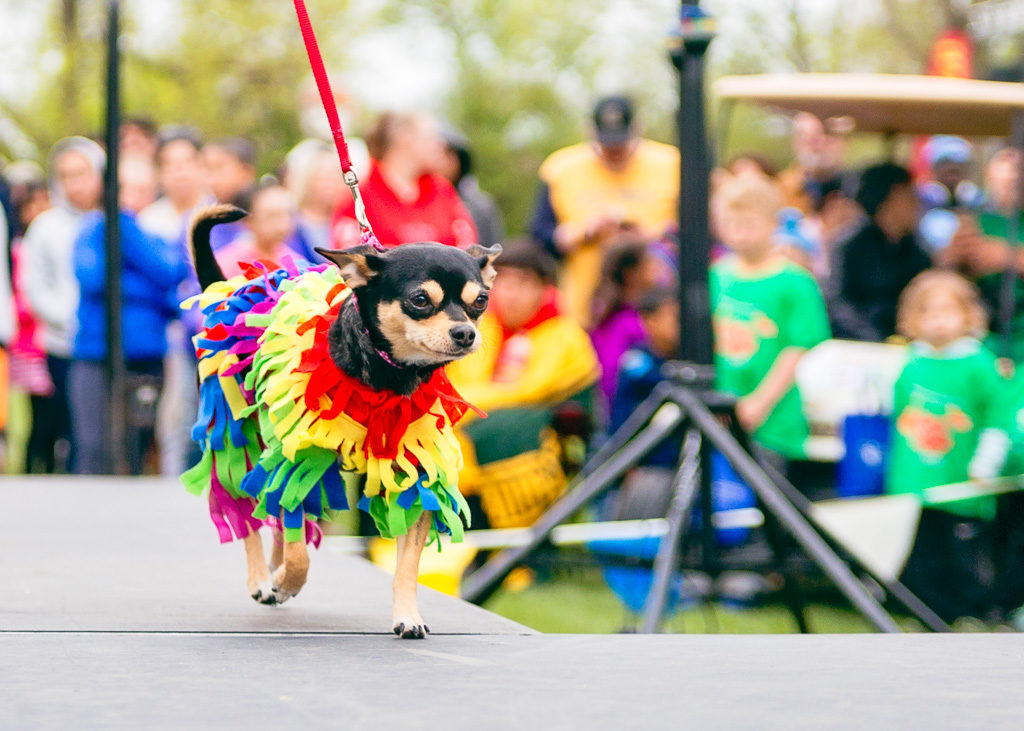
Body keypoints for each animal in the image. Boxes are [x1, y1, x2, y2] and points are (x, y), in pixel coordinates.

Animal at [191, 201, 499, 634]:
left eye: (481, 300)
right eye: (420, 299)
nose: (465, 333)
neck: (387, 379)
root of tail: (229, 292)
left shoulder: (418, 475)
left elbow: (407, 566)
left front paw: (408, 616)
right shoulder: (299, 458)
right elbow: (299, 552)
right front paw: (287, 582)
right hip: (241, 444)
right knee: (250, 519)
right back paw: (262, 579)